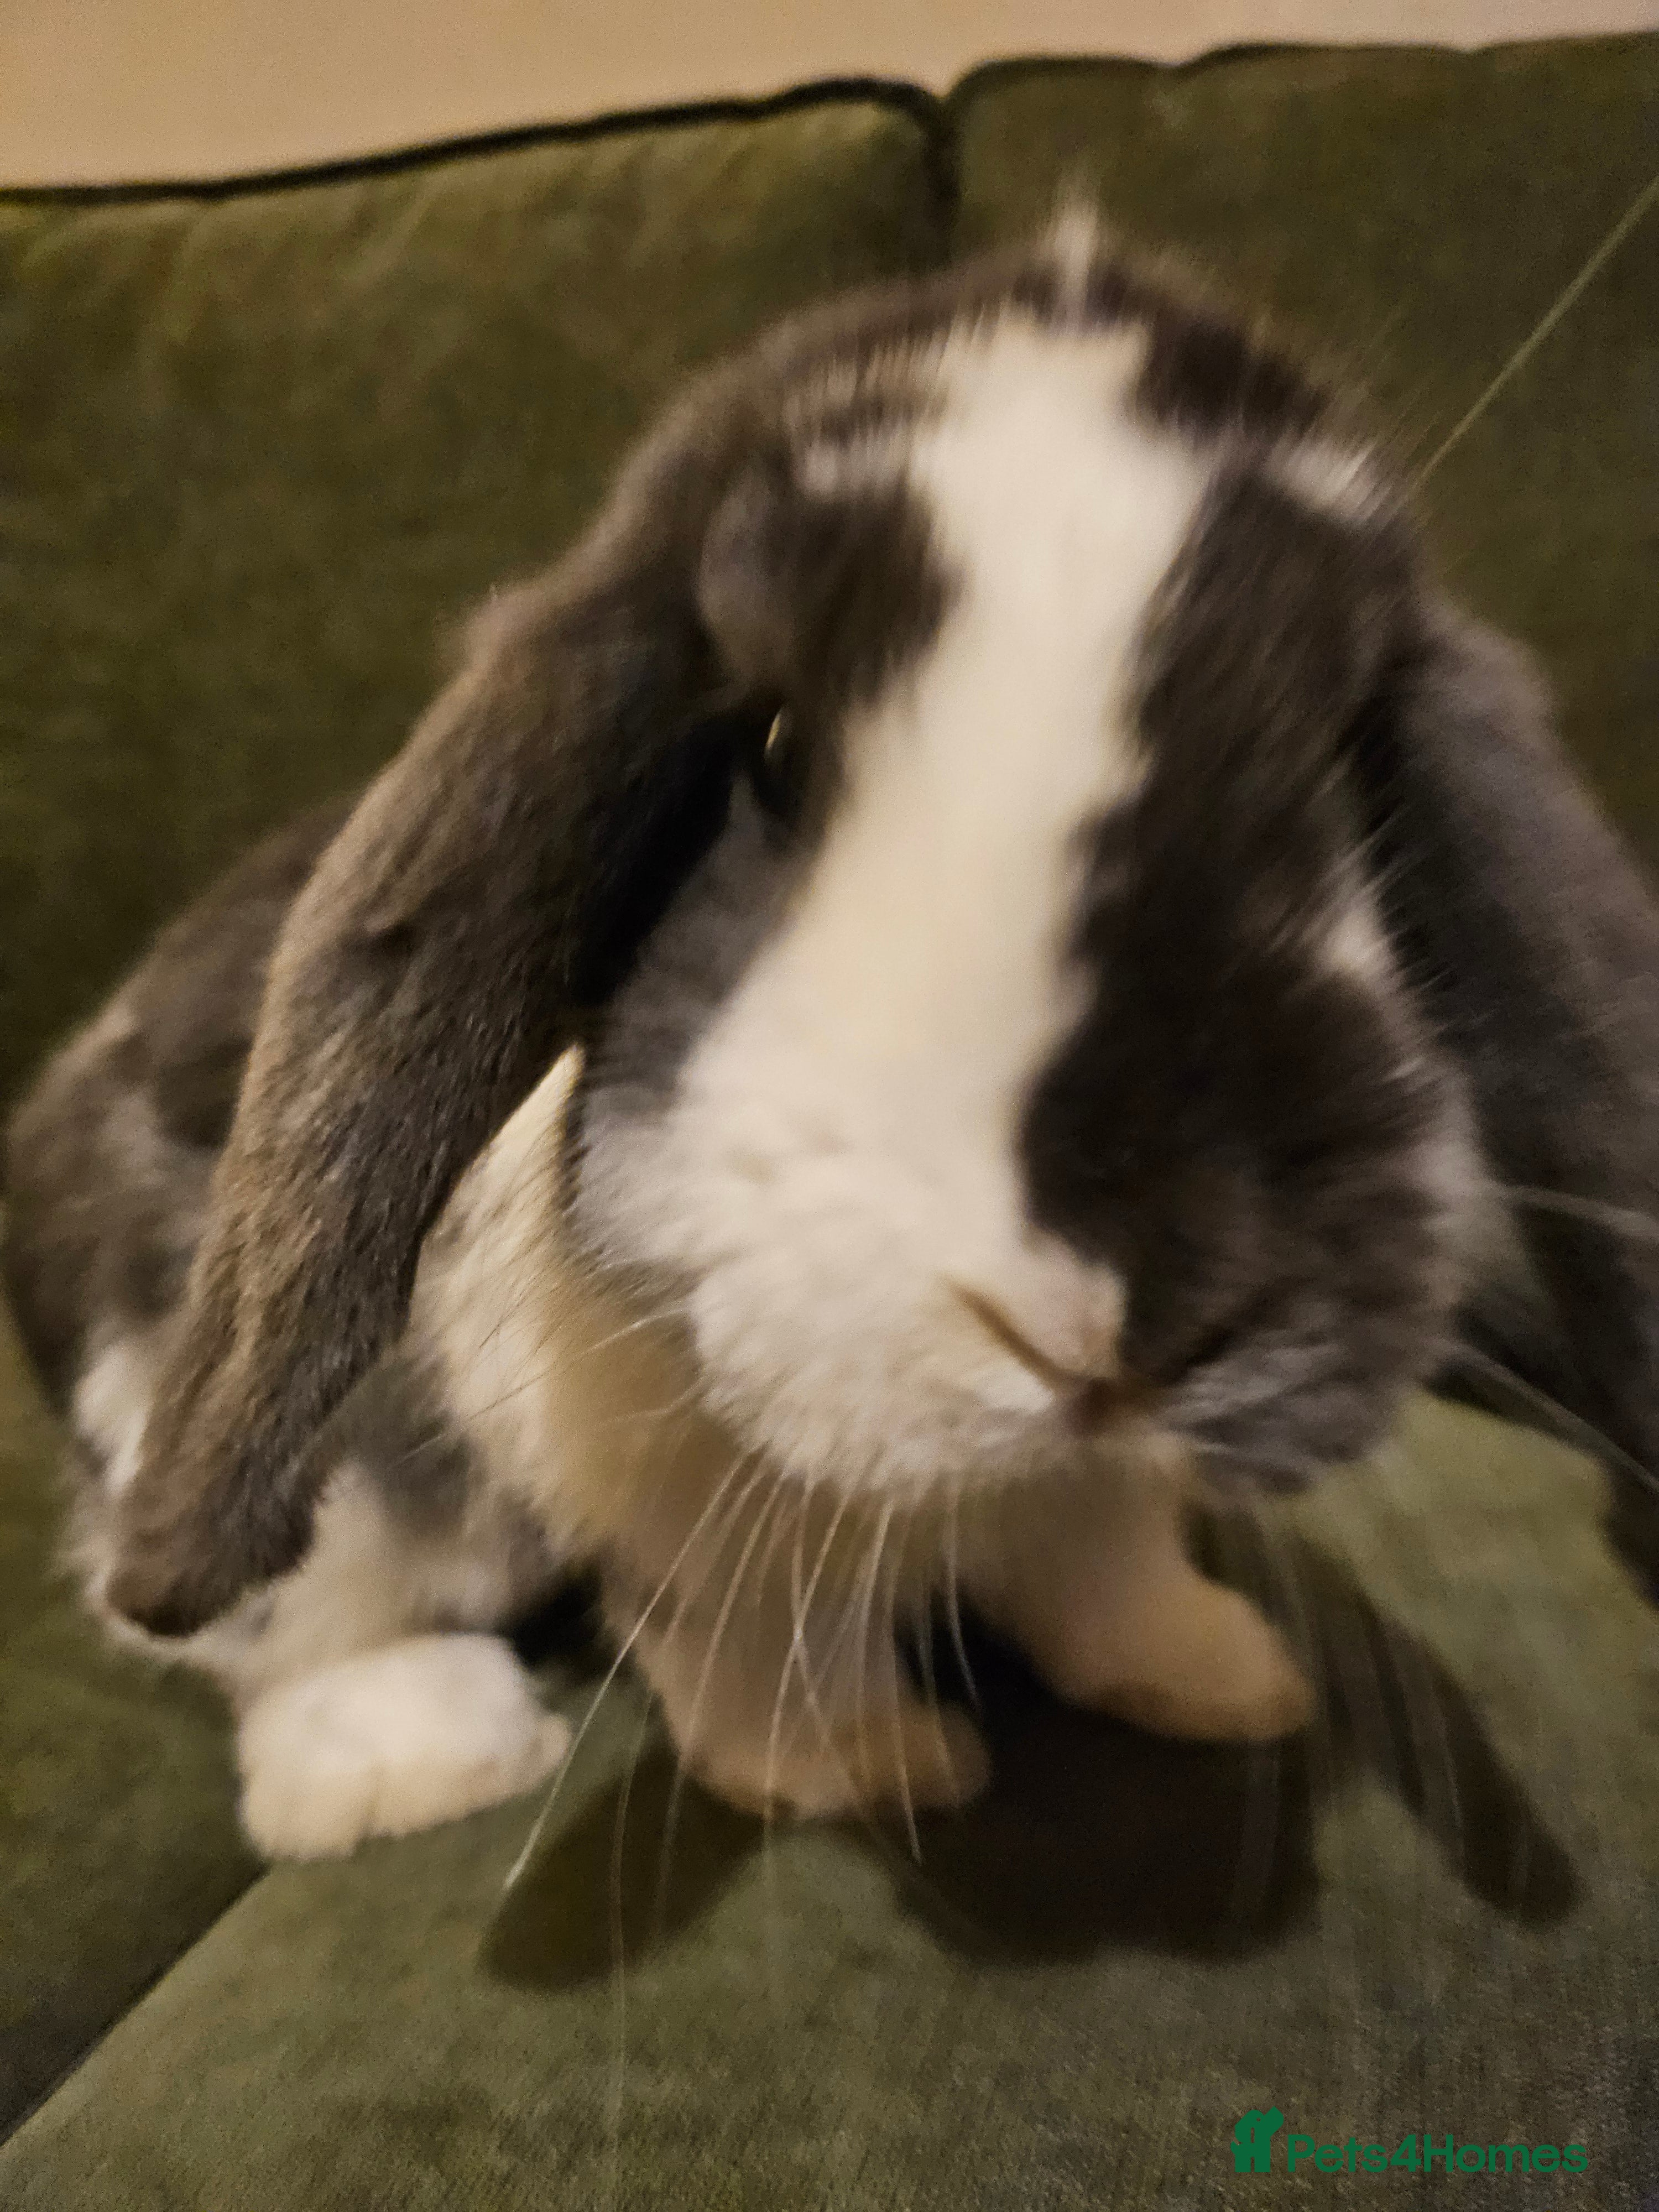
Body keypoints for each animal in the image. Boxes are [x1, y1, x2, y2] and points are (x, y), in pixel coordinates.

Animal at [8, 217, 1659, 1859]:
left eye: (1344, 764)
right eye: (772, 750)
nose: (1110, 1316)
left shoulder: (1087, 1491)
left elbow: (1099, 1557)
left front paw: (1212, 1676)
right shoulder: (659, 1471)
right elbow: (748, 1628)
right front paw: (864, 1765)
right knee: (291, 1627)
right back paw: (420, 1758)